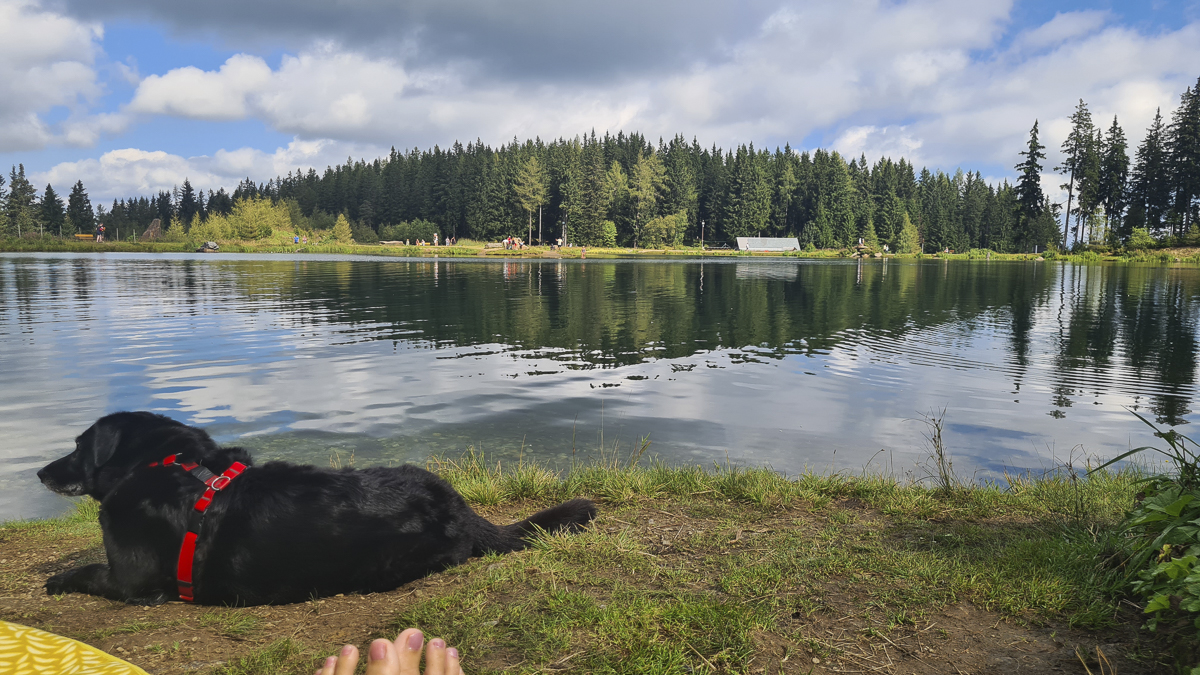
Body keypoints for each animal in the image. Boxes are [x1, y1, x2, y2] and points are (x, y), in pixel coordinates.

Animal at [39, 410, 597, 605]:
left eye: (77, 446)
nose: (41, 472)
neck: (170, 463)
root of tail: (459, 508)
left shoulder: (130, 579)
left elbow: (85, 571)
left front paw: (57, 578)